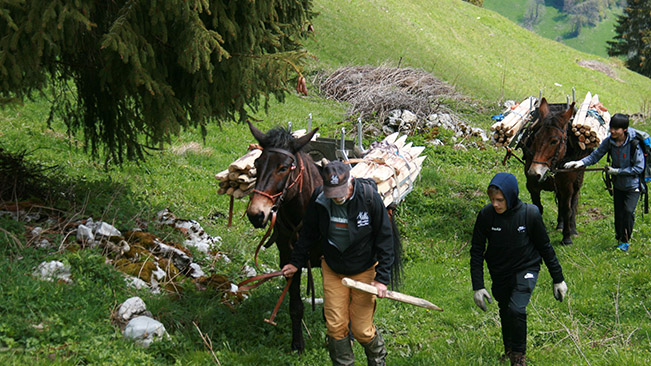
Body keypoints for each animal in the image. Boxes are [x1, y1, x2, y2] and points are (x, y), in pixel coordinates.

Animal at [246, 121, 324, 354]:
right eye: (257, 163)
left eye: (283, 168)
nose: (256, 214)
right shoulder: (289, 258)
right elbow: (295, 306)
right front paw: (297, 345)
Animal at [524, 98, 592, 244]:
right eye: (535, 137)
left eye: (554, 141)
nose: (534, 173)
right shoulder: (532, 186)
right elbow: (538, 207)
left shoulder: (567, 186)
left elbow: (568, 209)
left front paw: (567, 237)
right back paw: (560, 224)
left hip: (577, 182)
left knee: (573, 202)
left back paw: (572, 229)